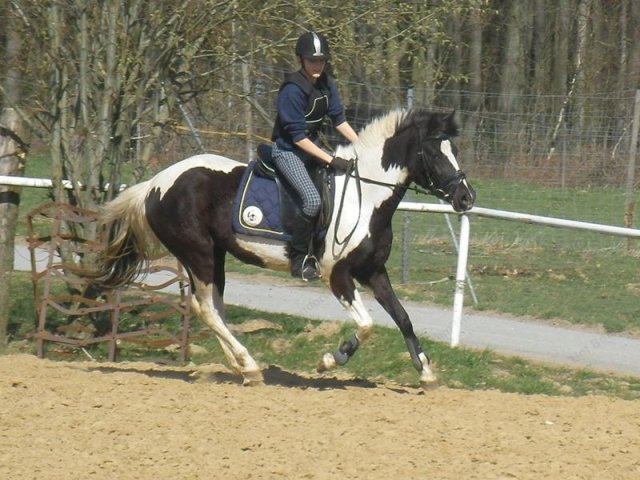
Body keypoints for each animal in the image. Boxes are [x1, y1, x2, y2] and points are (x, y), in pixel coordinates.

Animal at [91, 108, 476, 387]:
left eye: (455, 150)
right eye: (434, 153)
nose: (466, 198)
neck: (365, 198)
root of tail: (156, 183)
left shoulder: (373, 271)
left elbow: (403, 318)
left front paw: (426, 372)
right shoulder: (338, 276)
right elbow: (367, 325)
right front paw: (329, 361)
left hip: (214, 255)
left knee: (214, 307)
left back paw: (241, 365)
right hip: (197, 254)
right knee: (207, 309)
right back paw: (248, 365)